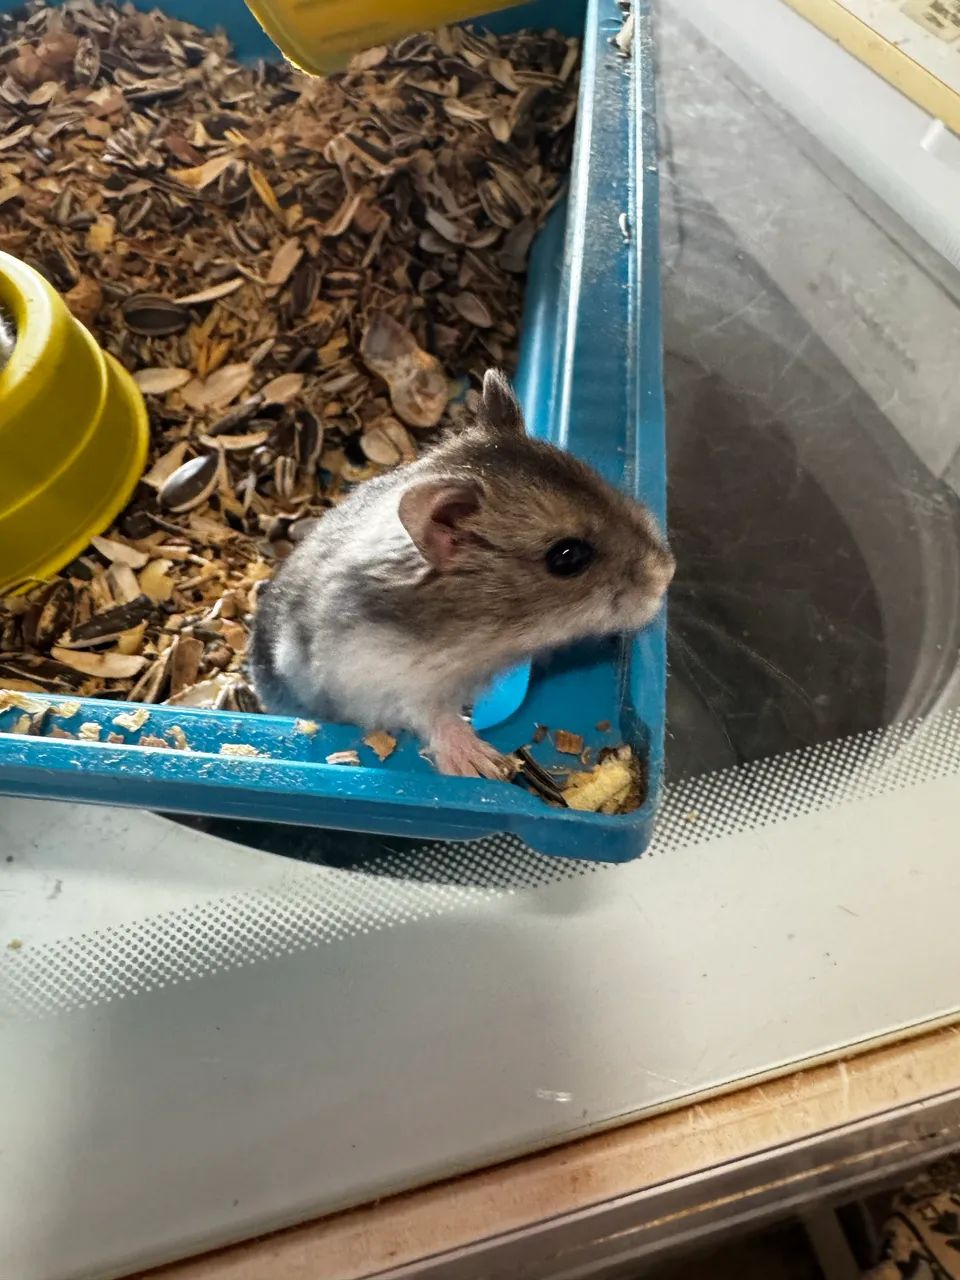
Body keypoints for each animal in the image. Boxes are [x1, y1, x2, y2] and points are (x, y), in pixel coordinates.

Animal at [248, 370, 675, 778]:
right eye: (567, 557)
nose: (666, 574)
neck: (473, 633)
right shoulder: (379, 677)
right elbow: (430, 715)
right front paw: (483, 764)